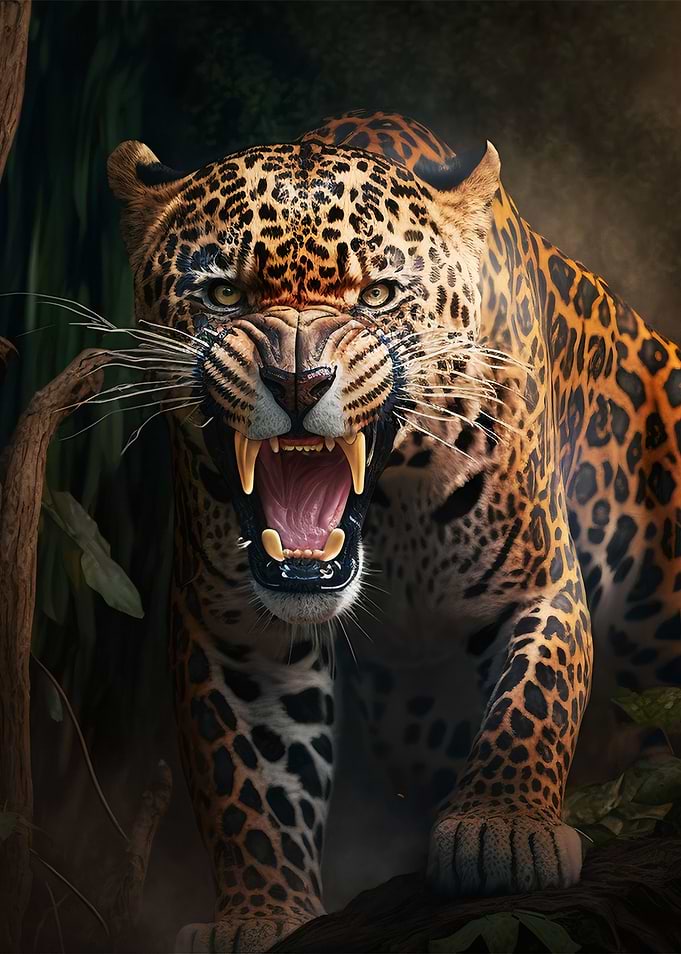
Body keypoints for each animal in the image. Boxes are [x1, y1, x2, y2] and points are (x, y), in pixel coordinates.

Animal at [106, 109, 681, 953]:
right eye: (224, 292)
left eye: (376, 295)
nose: (298, 382)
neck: (390, 512)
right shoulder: (237, 631)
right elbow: (247, 779)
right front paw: (257, 913)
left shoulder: (536, 581)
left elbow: (532, 700)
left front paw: (503, 829)